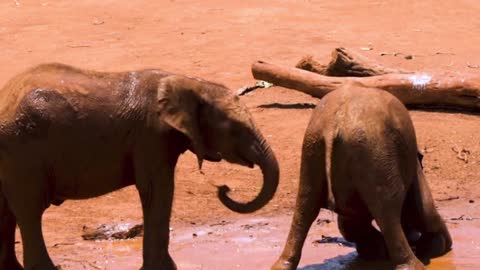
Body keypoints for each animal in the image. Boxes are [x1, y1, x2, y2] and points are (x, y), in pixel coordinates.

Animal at [0, 63, 278, 270]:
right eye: (235, 129)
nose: (223, 188)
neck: (189, 83)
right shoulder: (150, 136)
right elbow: (157, 190)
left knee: (8, 211)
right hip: (22, 152)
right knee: (29, 210)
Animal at [272, 84, 452, 270]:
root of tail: (333, 123)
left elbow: (349, 222)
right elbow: (423, 210)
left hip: (313, 147)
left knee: (304, 206)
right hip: (374, 151)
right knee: (388, 209)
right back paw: (414, 264)